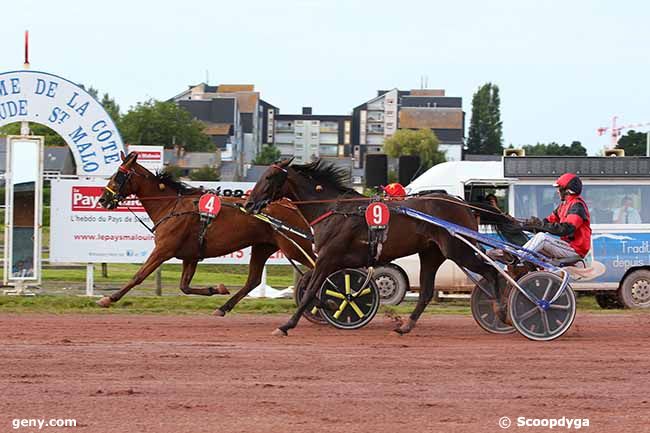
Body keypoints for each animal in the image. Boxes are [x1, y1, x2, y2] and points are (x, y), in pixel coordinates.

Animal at [97, 152, 316, 314]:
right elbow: (184, 287)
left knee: (316, 265)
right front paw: (217, 289)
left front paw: (109, 298)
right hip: (263, 246)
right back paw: (223, 307)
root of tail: (292, 206)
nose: (103, 199)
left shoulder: (163, 250)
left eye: (118, 175)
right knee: (253, 280)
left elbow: (139, 276)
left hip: (295, 246)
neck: (171, 205)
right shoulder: (191, 256)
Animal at [243, 158, 506, 334]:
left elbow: (310, 291)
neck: (333, 209)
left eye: (268, 177)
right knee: (426, 292)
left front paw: (286, 325)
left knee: (491, 271)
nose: (249, 204)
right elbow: (316, 289)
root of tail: (465, 205)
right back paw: (405, 326)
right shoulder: (334, 261)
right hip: (431, 254)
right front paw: (332, 303)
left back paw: (500, 311)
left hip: (459, 250)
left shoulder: (327, 258)